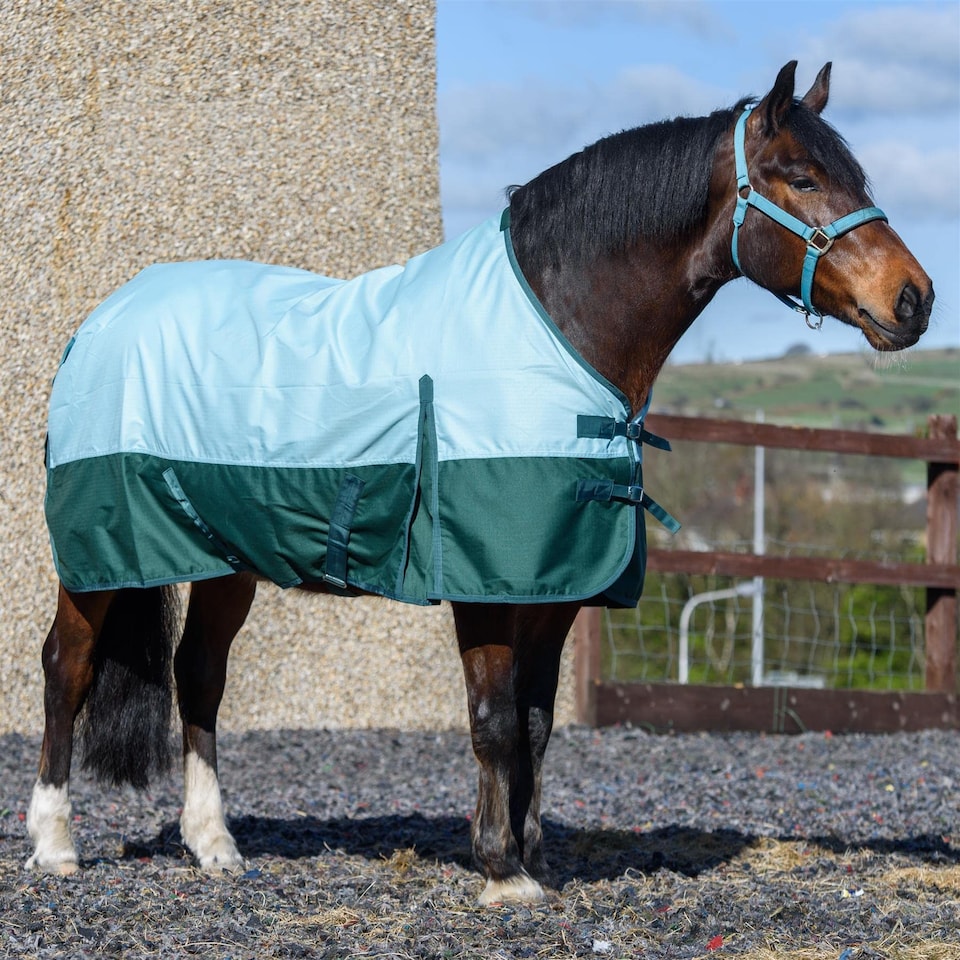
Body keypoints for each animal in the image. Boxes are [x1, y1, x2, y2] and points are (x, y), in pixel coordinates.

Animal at [26, 62, 933, 905]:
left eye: (857, 178)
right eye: (802, 177)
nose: (914, 299)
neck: (557, 329)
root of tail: (101, 321)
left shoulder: (555, 587)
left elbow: (536, 723)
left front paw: (529, 855)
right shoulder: (483, 583)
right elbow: (494, 721)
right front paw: (501, 873)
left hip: (225, 559)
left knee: (199, 675)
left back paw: (213, 844)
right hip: (98, 557)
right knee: (67, 667)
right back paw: (55, 843)